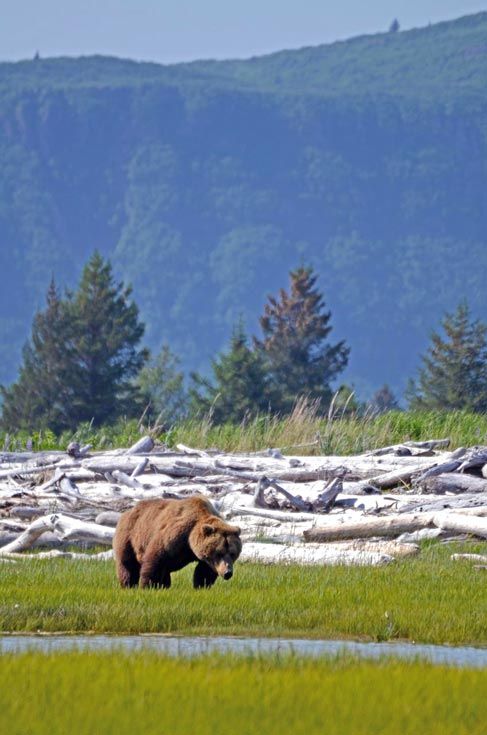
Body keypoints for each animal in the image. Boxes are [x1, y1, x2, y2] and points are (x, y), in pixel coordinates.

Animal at [113, 496, 242, 589]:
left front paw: (201, 586)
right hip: (129, 535)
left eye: (232, 553)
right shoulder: (176, 535)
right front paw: (148, 586)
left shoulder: (205, 558)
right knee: (128, 565)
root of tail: (128, 511)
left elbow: (204, 571)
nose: (228, 572)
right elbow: (156, 558)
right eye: (219, 553)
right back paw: (129, 585)